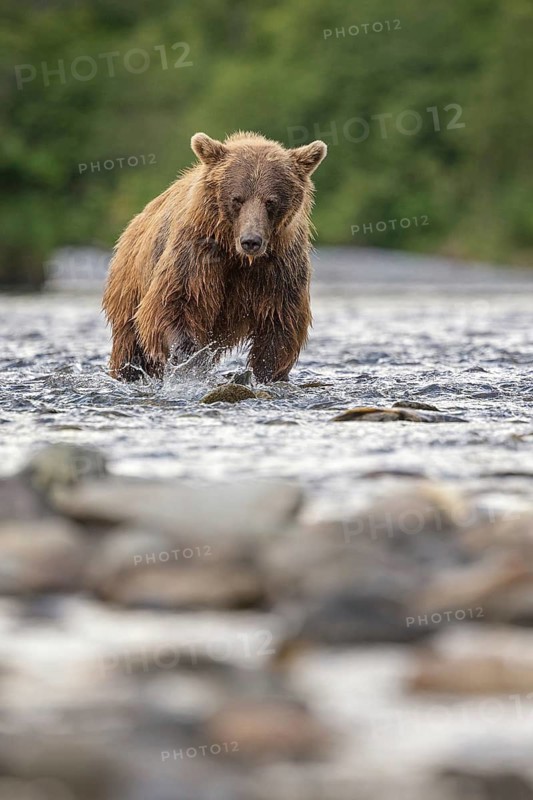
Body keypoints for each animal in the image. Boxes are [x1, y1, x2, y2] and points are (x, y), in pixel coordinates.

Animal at [102, 131, 327, 383]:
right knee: (130, 344)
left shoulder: (280, 265)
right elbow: (174, 301)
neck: (235, 254)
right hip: (130, 284)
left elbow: (280, 320)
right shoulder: (197, 253)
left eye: (271, 201)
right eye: (237, 199)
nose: (251, 241)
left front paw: (265, 372)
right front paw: (188, 357)